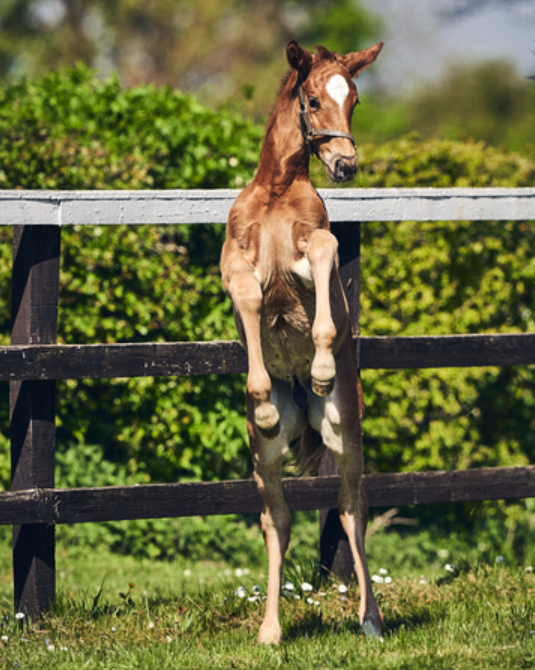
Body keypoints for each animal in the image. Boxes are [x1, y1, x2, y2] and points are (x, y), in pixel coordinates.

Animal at [220, 40, 384, 644]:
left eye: (354, 99)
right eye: (313, 100)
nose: (346, 164)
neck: (276, 190)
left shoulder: (312, 253)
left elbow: (324, 254)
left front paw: (320, 367)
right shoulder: (233, 263)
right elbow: (248, 295)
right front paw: (263, 398)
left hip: (344, 430)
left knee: (352, 507)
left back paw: (371, 620)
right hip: (264, 456)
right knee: (279, 518)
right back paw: (270, 630)